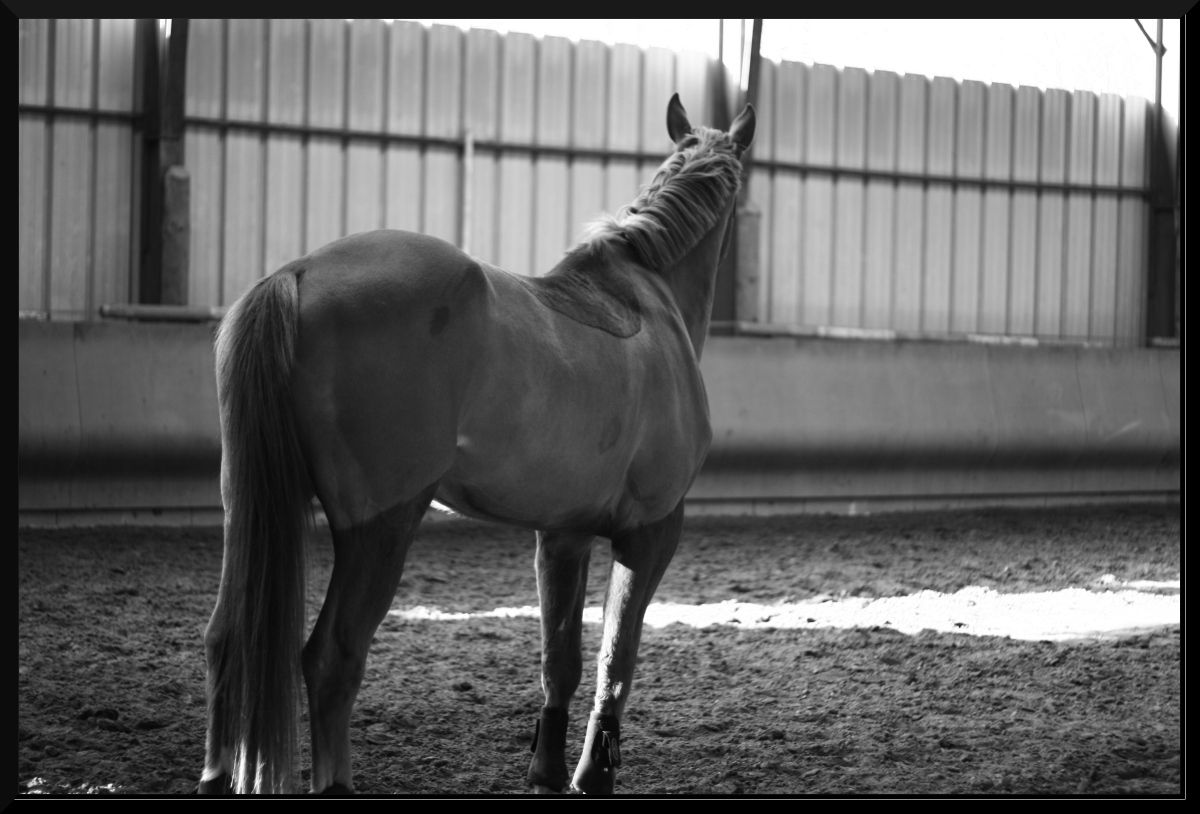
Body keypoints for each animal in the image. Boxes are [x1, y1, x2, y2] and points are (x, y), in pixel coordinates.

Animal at [197, 93, 755, 796]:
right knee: (331, 658)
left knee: (227, 638)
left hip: (247, 509)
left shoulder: (562, 536)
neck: (648, 298)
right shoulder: (652, 532)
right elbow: (615, 660)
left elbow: (562, 660)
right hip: (382, 527)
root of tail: (296, 275)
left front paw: (546, 771)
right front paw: (592, 773)